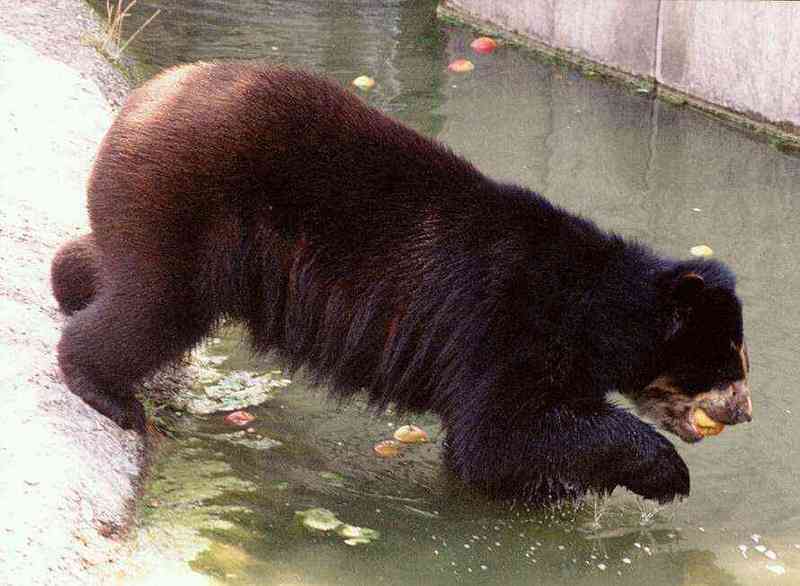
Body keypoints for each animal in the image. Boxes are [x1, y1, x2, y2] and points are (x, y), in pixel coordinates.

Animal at [50, 62, 752, 502]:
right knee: (154, 309)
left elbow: (503, 444)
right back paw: (109, 392)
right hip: (194, 209)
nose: (744, 413)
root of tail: (142, 100)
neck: (591, 311)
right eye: (730, 361)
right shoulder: (508, 322)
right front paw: (664, 473)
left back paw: (69, 281)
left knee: (118, 268)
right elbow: (498, 435)